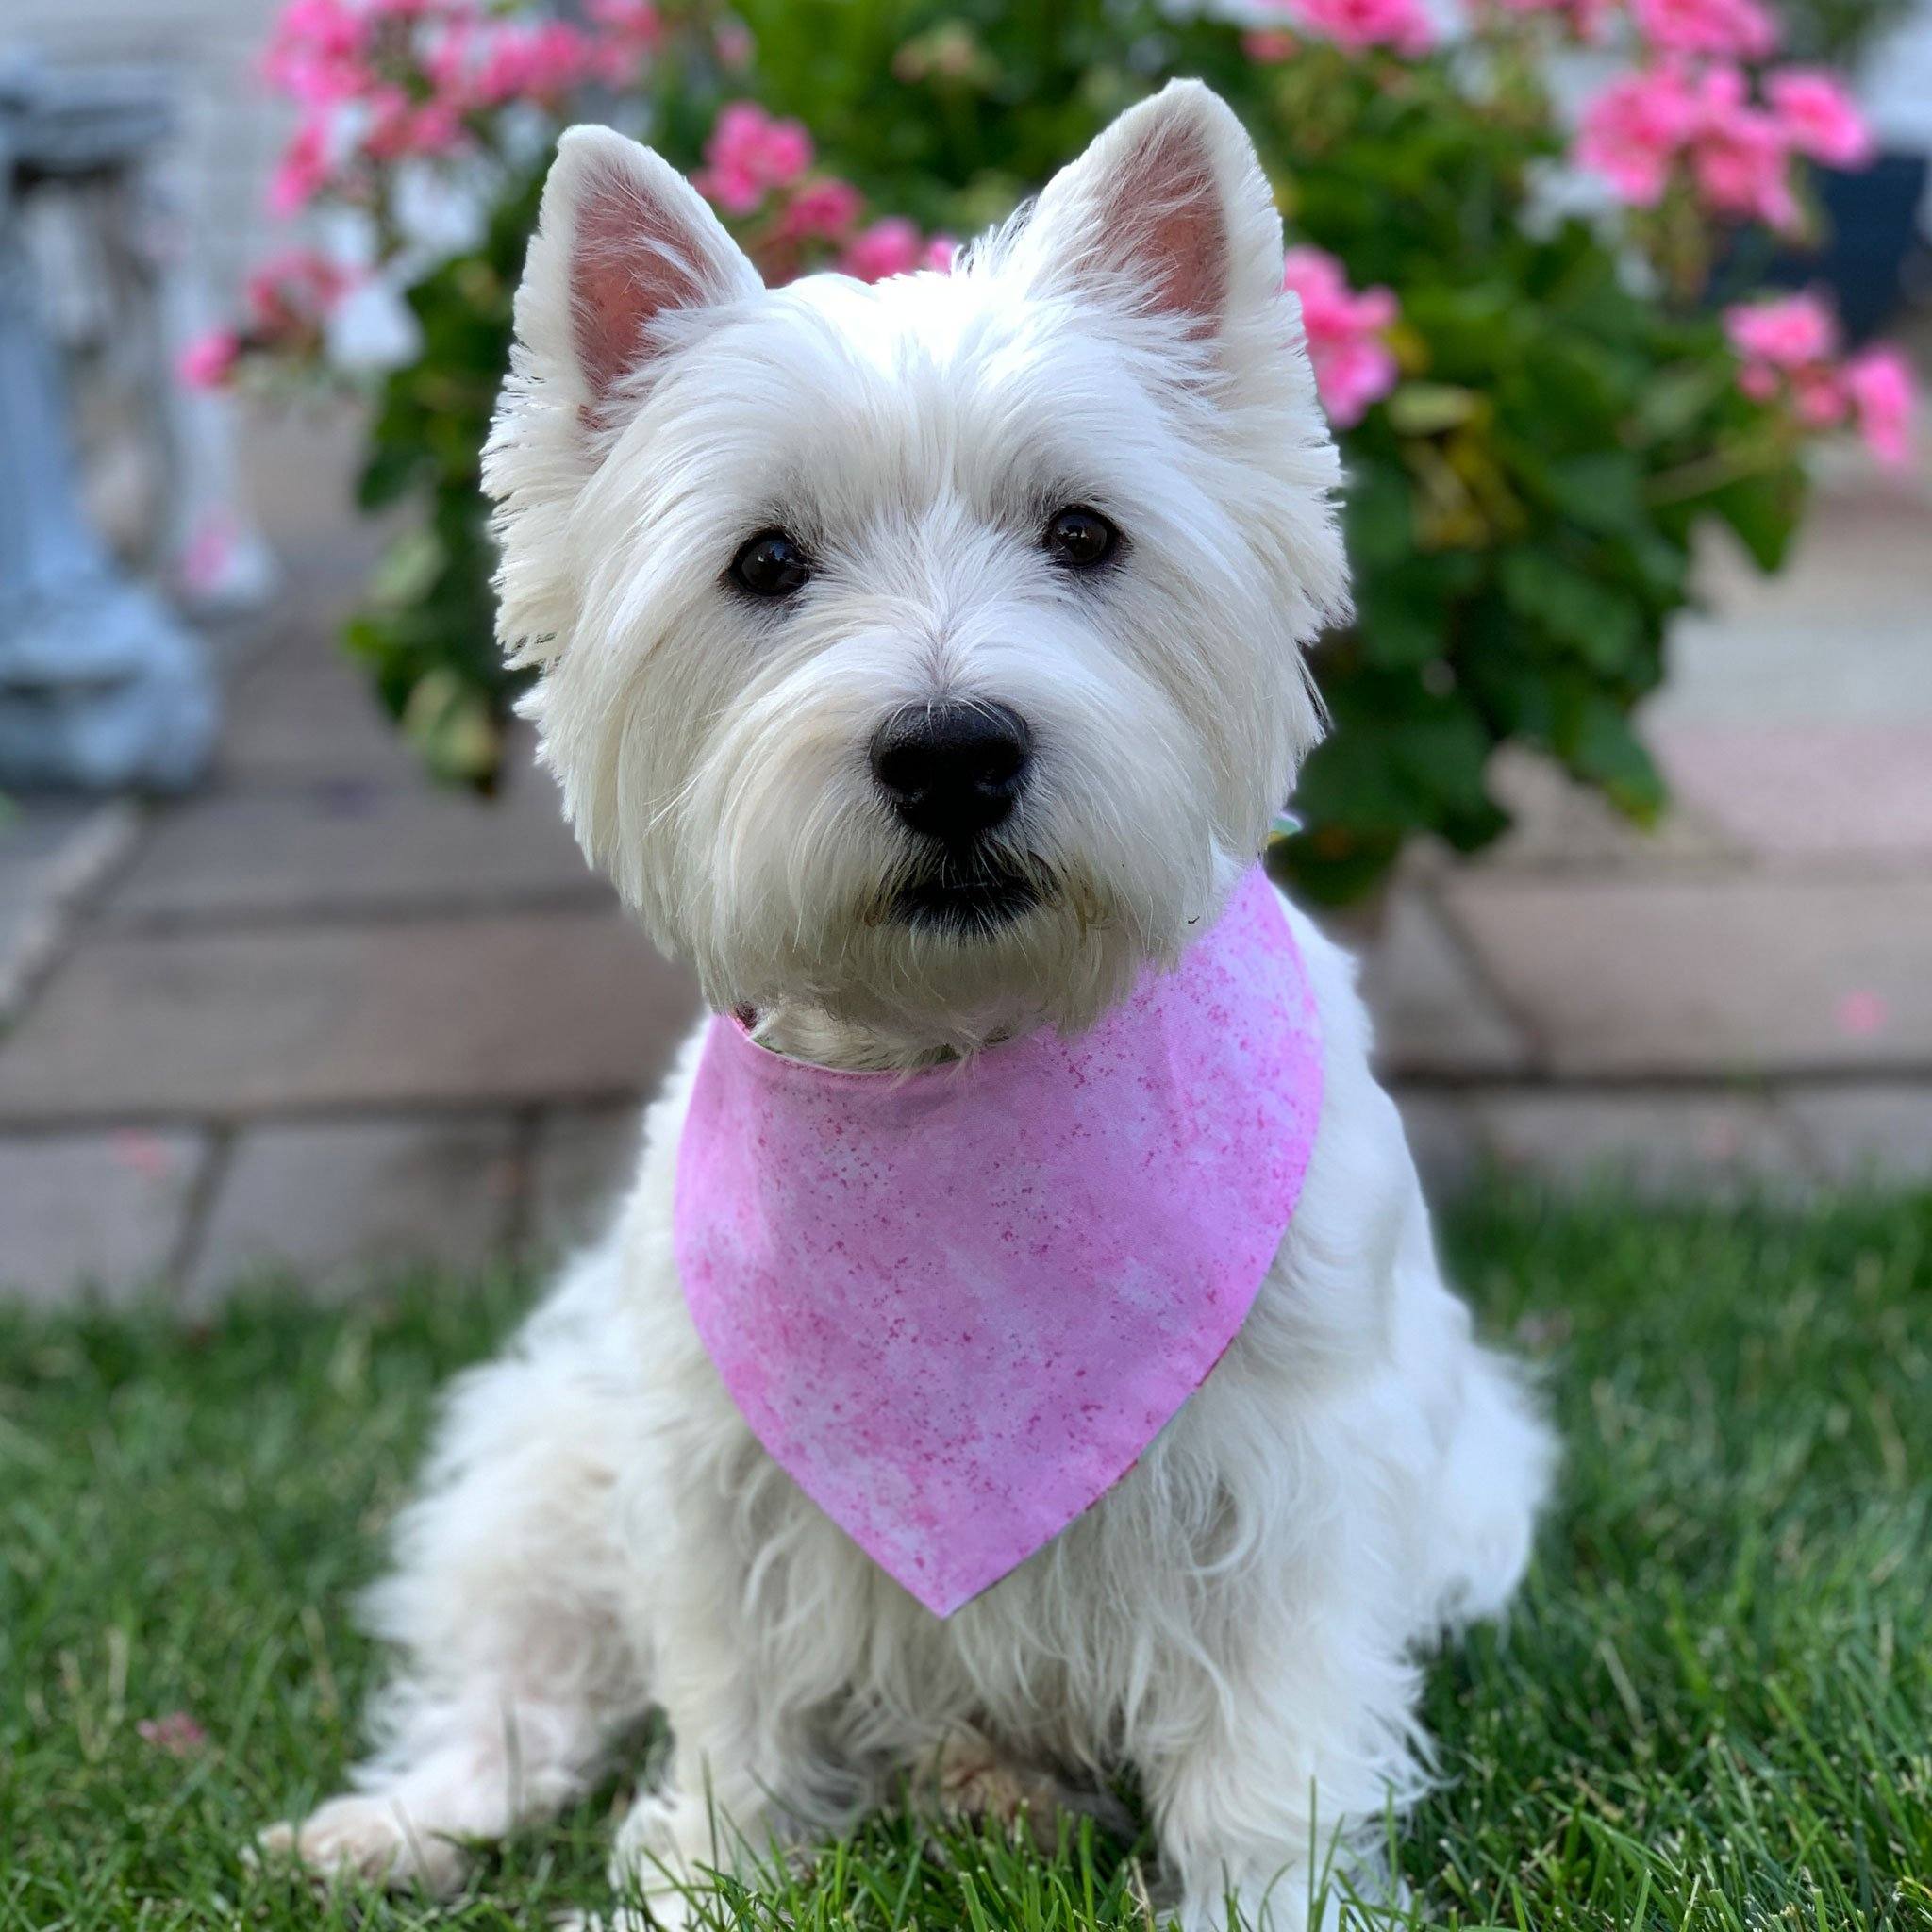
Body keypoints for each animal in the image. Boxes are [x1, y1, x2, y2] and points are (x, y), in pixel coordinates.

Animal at [264, 78, 1553, 1932]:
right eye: (764, 560)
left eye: (1085, 532)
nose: (952, 753)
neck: (953, 1054)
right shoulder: (717, 1479)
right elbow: (728, 1723)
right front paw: (696, 1887)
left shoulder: (1293, 1482)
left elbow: (1270, 1757)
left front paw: (1270, 1900)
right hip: (548, 1453)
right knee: (518, 1678)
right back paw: (397, 1823)